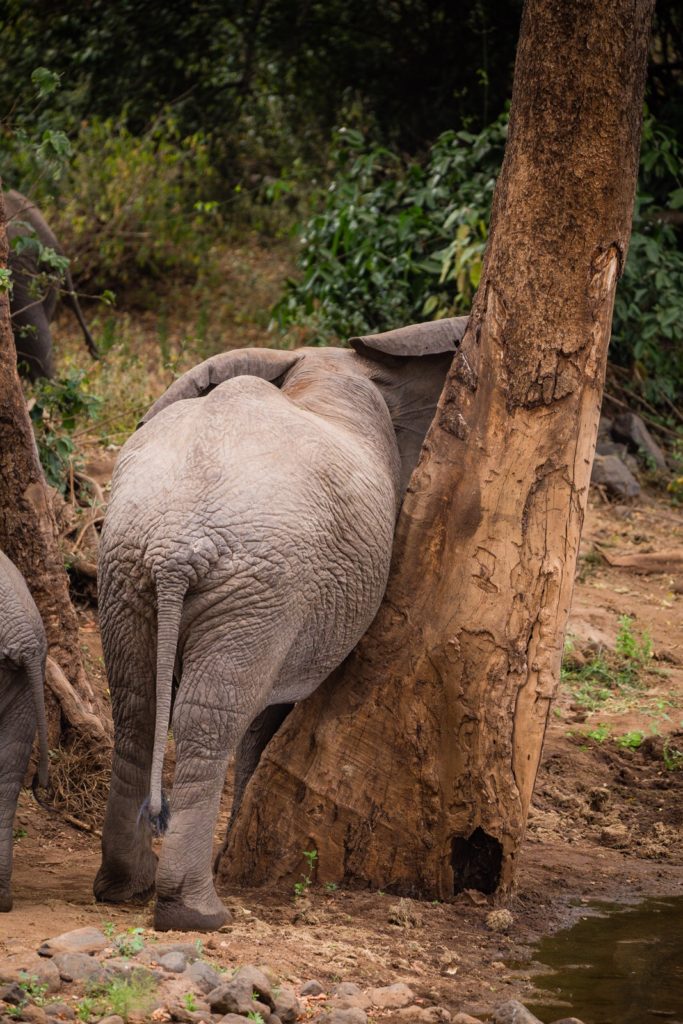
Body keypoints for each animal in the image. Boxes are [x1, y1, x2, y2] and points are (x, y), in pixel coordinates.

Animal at [93, 315, 469, 931]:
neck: (316, 363)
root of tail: (174, 547)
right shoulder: (294, 602)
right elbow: (268, 715)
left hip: (128, 569)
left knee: (136, 706)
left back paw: (125, 887)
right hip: (260, 588)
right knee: (209, 719)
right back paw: (197, 914)